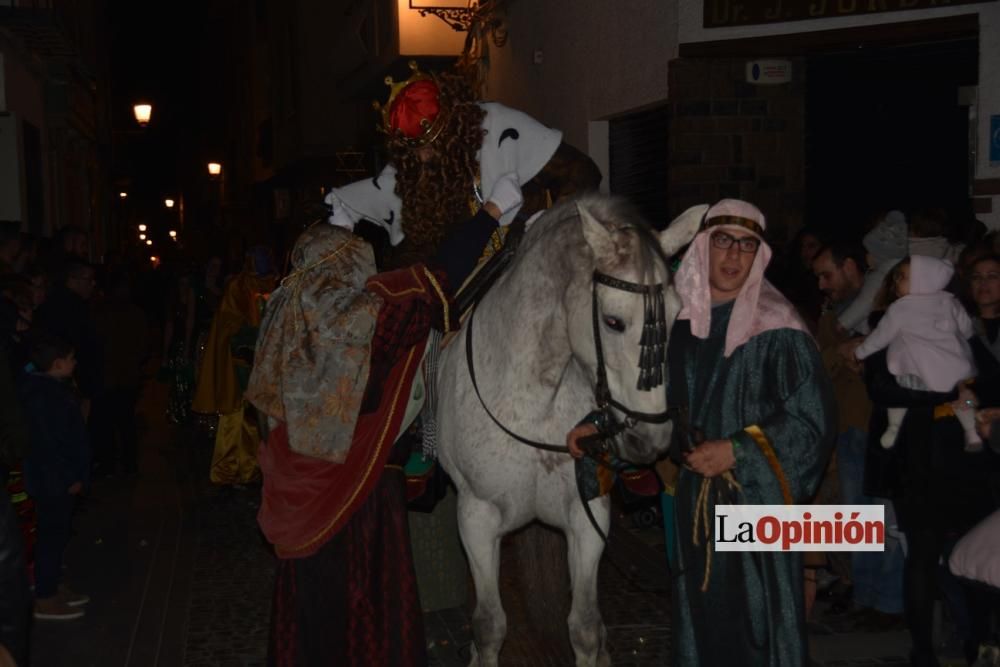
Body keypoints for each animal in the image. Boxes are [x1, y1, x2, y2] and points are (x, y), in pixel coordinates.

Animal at [436, 197, 704, 667]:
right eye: (613, 322)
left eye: (675, 315)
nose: (651, 441)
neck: (533, 402)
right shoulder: (476, 517)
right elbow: (488, 626)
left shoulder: (587, 513)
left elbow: (585, 627)